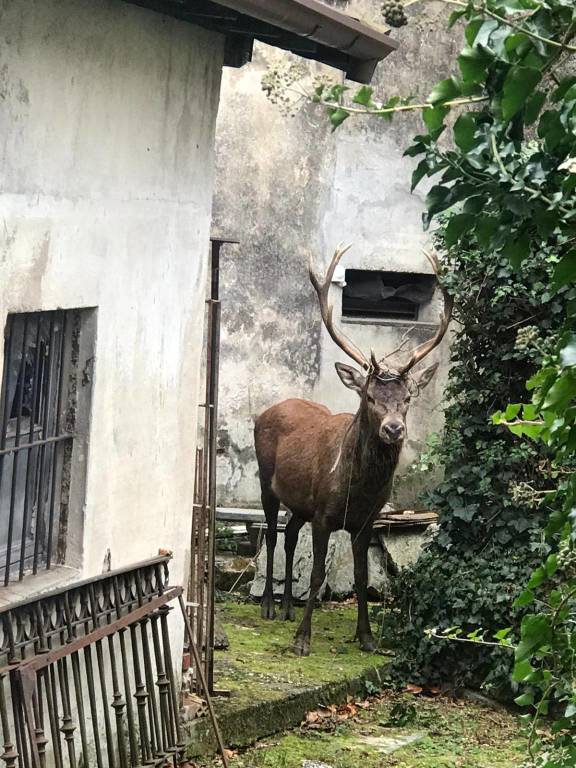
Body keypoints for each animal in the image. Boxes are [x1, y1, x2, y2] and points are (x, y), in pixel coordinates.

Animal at [254, 245, 452, 656]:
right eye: (370, 396)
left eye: (407, 398)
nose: (394, 428)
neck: (356, 489)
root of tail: (266, 410)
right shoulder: (324, 514)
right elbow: (316, 574)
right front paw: (303, 641)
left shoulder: (365, 521)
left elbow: (362, 576)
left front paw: (366, 637)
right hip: (266, 480)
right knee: (273, 534)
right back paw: (268, 605)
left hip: (301, 502)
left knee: (291, 534)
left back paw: (286, 608)